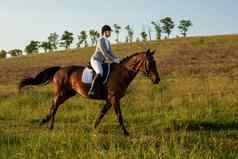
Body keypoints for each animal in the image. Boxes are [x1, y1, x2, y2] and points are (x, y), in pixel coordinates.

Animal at [18, 48, 160, 135]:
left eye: (155, 63)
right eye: (150, 63)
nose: (157, 80)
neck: (121, 73)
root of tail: (59, 69)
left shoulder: (110, 99)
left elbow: (101, 114)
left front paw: (93, 128)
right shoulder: (114, 98)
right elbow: (119, 116)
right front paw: (126, 133)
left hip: (67, 94)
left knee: (55, 106)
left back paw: (47, 123)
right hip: (61, 93)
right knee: (54, 106)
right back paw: (48, 125)